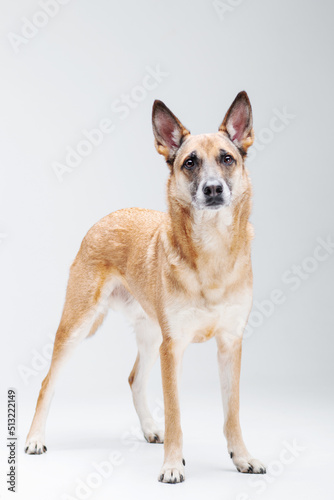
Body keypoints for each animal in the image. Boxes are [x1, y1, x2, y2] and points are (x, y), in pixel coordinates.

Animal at [24, 92, 266, 482]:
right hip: (78, 326)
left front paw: (242, 457)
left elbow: (232, 413)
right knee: (48, 383)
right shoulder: (174, 348)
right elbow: (176, 413)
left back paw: (152, 428)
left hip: (152, 336)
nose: (213, 189)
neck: (211, 250)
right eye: (190, 163)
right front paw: (172, 465)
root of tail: (109, 216)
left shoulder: (230, 344)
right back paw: (34, 439)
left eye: (227, 159)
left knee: (135, 379)